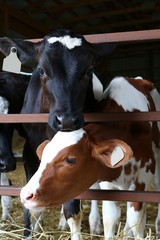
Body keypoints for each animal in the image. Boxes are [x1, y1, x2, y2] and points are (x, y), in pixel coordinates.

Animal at [21, 76, 160, 238]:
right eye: (43, 157)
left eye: (71, 159)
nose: (25, 194)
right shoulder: (108, 184)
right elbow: (110, 218)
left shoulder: (143, 176)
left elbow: (136, 222)